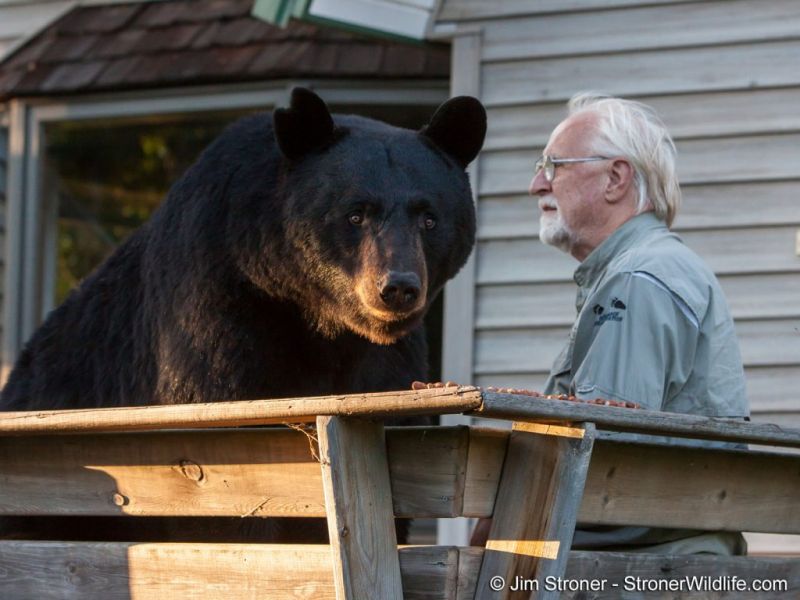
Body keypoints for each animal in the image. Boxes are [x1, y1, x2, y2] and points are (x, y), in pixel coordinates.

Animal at [0, 88, 486, 544]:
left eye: (429, 218)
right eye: (355, 214)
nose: (398, 287)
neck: (317, 318)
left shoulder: (386, 364)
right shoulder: (215, 313)